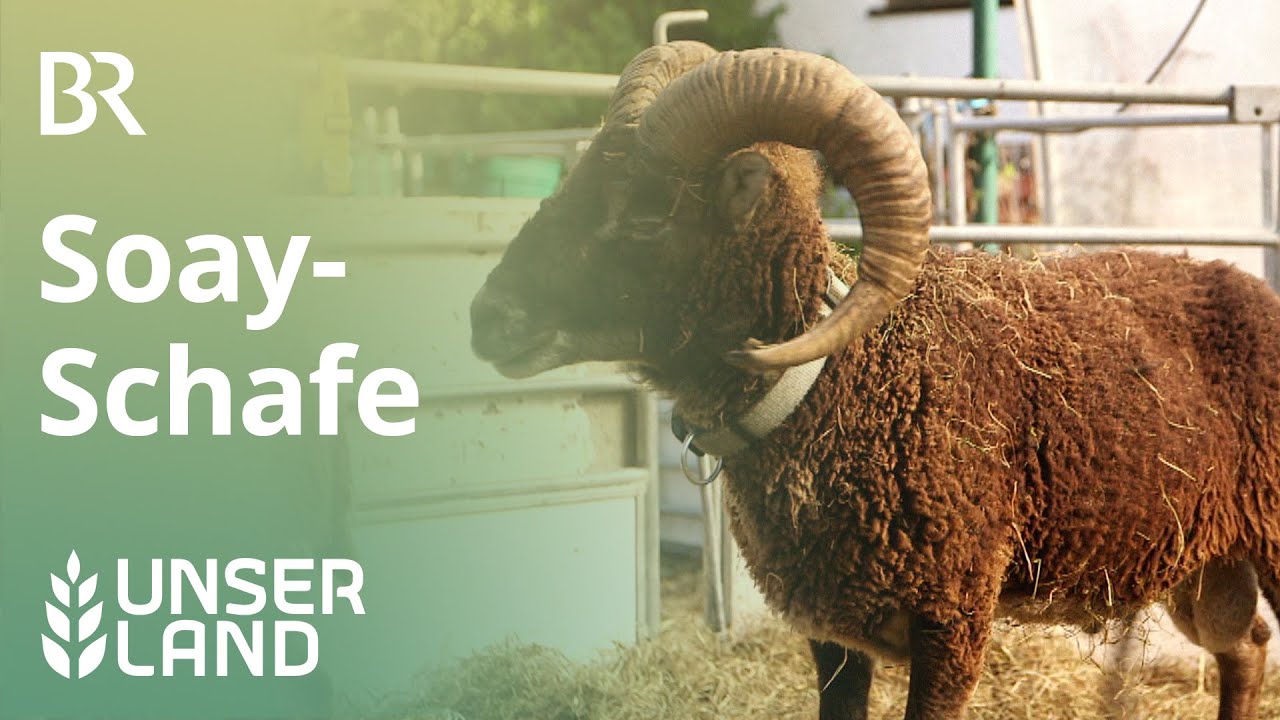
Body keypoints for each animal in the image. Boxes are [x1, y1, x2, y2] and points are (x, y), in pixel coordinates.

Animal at [469, 44, 1280, 719]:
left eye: (644, 217)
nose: (487, 317)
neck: (835, 381)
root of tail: (1248, 281)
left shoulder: (952, 619)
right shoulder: (830, 627)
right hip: (1201, 564)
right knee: (1246, 647)